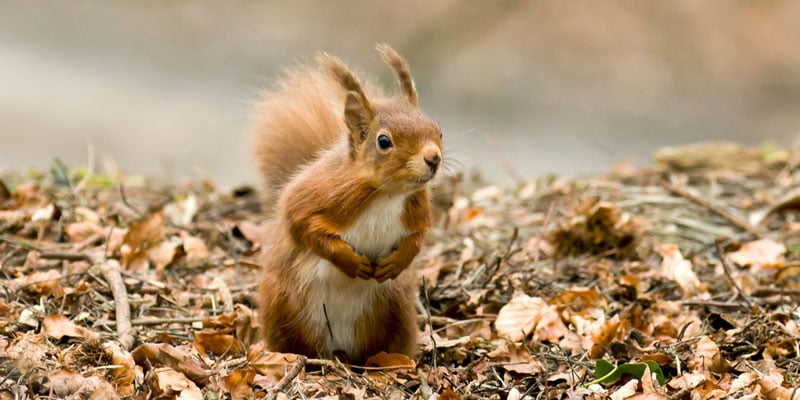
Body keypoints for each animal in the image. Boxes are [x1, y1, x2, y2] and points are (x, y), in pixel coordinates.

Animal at [255, 44, 444, 362]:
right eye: (383, 141)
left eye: (438, 130)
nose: (433, 158)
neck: (387, 194)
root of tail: (337, 349)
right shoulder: (319, 196)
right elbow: (302, 225)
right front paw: (351, 262)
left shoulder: (417, 208)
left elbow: (419, 235)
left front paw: (398, 261)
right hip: (283, 305)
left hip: (396, 313)